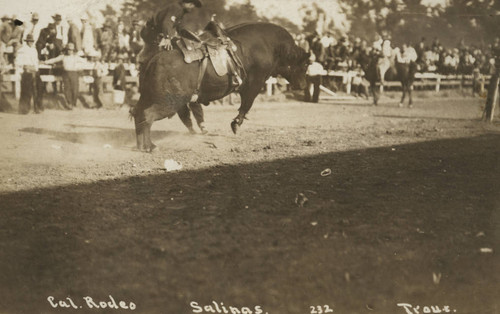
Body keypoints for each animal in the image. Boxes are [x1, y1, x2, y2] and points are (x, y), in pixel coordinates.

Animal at [131, 21, 310, 151]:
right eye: (305, 64)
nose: (302, 85)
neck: (270, 45)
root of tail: (153, 60)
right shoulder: (254, 84)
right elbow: (246, 105)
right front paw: (236, 124)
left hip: (150, 97)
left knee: (139, 114)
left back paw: (140, 145)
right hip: (169, 101)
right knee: (147, 115)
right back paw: (150, 146)